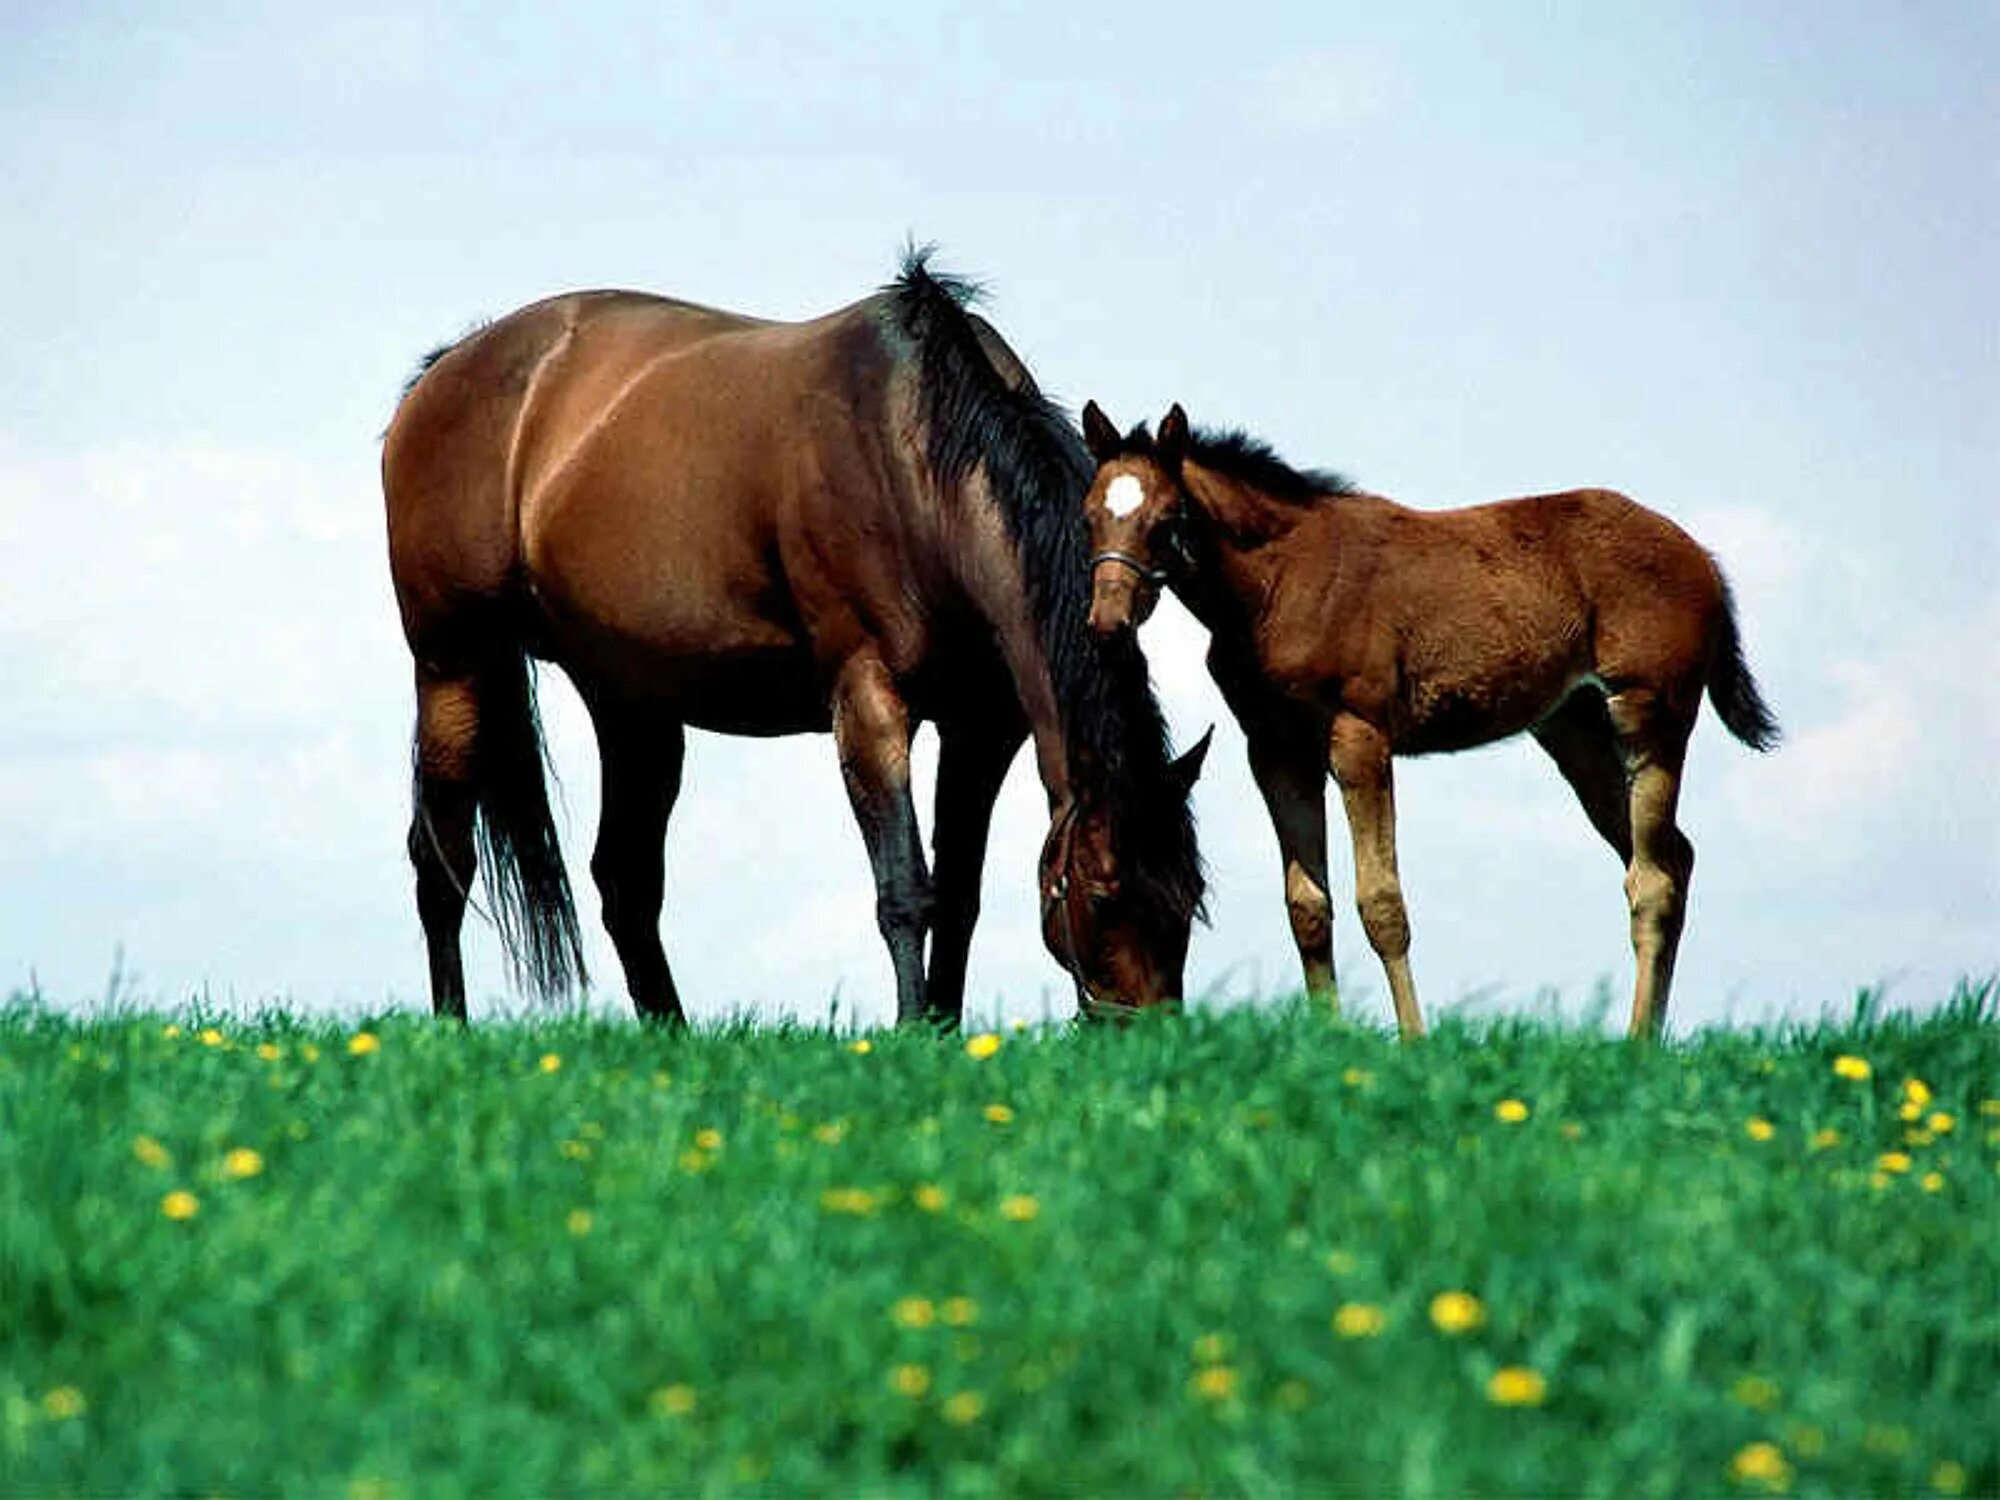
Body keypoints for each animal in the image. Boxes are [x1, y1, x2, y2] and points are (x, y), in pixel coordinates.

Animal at [382, 262, 1208, 1032]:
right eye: (1103, 890)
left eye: (1191, 893)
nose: (1150, 1035)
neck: (913, 459)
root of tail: (445, 372)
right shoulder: (869, 702)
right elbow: (906, 888)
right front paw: (911, 1032)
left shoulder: (981, 728)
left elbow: (959, 893)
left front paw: (943, 1031)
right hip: (453, 664)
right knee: (442, 858)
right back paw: (450, 1027)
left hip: (632, 706)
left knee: (624, 879)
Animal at [1080, 402, 1784, 1048]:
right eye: (1090, 516)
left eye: (1166, 520)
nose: (1107, 621)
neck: (1279, 582)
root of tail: (1702, 556)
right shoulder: (1277, 749)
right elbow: (1307, 905)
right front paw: (1327, 1039)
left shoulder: (1359, 734)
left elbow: (1381, 901)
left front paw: (1413, 1041)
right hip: (1575, 730)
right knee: (1673, 857)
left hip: (1650, 714)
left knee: (1654, 876)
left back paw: (1638, 1042)